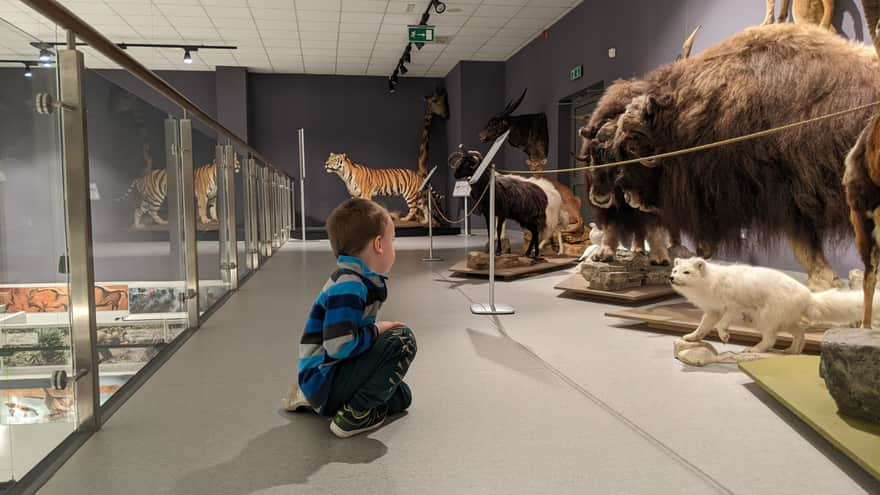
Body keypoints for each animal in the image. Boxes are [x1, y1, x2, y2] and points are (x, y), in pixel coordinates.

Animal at [672, 258, 876, 354]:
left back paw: (754, 349)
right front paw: (691, 337)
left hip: (765, 319)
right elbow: (703, 327)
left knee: (771, 339)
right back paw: (793, 351)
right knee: (799, 333)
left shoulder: (734, 307)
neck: (711, 283)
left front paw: (724, 336)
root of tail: (808, 295)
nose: (671, 278)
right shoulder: (713, 311)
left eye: (686, 272)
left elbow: (722, 323)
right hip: (785, 321)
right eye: (674, 270)